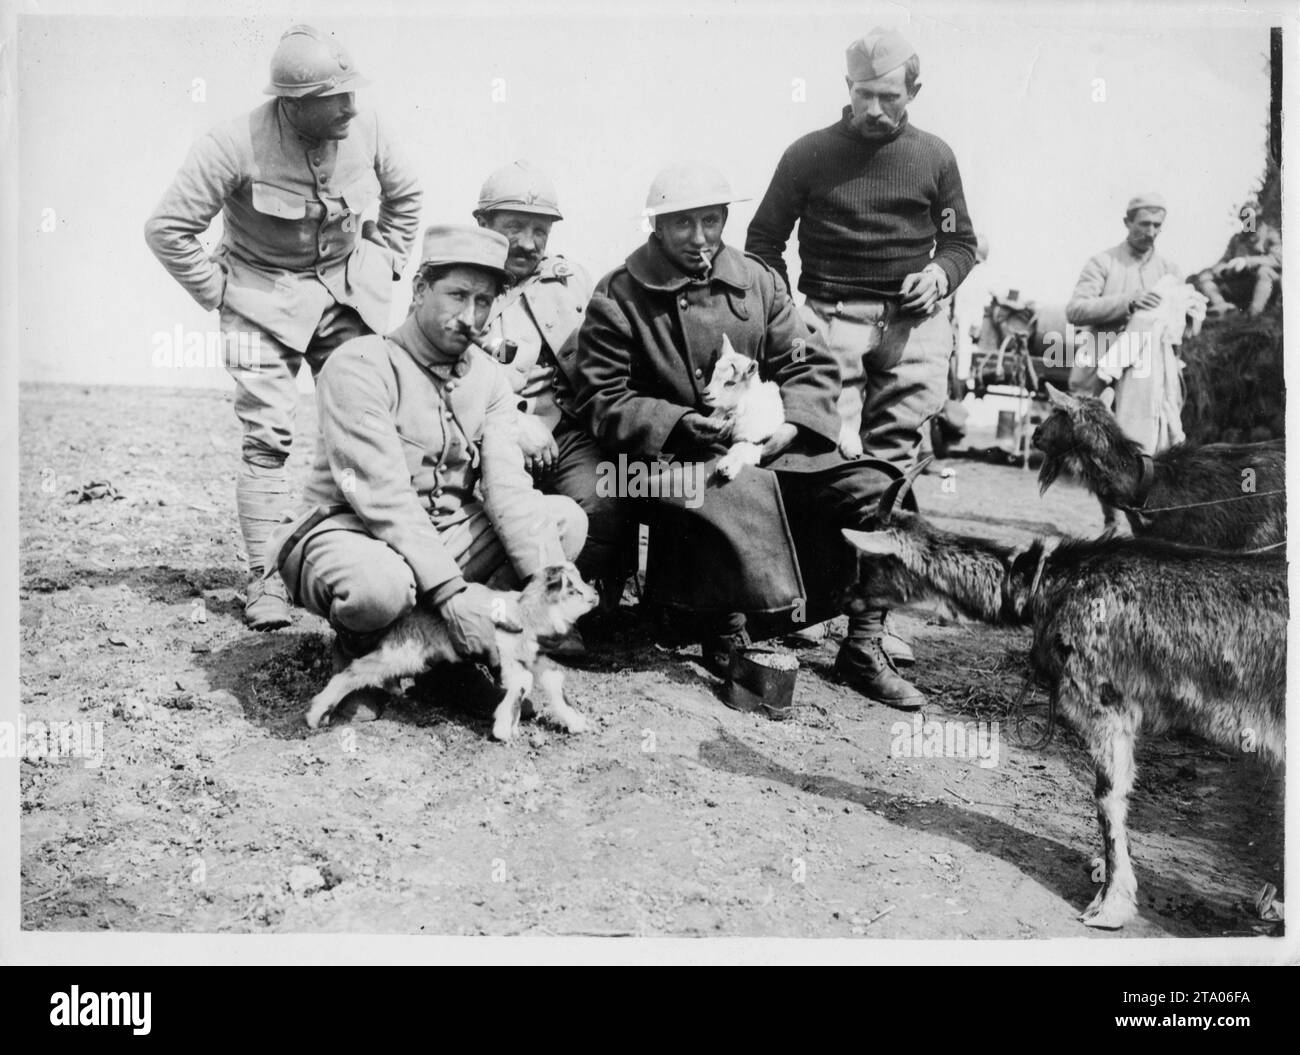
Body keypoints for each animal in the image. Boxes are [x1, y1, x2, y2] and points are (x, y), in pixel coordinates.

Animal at [847, 467, 1284, 925]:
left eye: (868, 561)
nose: (847, 598)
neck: (1047, 585)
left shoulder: (1102, 697)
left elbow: (1108, 794)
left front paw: (1110, 903)